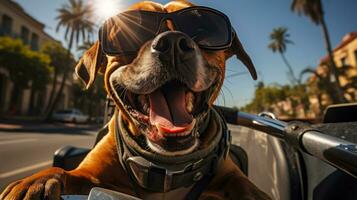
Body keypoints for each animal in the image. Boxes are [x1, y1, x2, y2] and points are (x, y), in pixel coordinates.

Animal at [0, 0, 270, 199]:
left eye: (203, 30)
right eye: (130, 33)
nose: (173, 42)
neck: (168, 168)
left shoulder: (230, 174)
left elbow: (247, 187)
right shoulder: (90, 175)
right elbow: (63, 170)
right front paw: (34, 181)